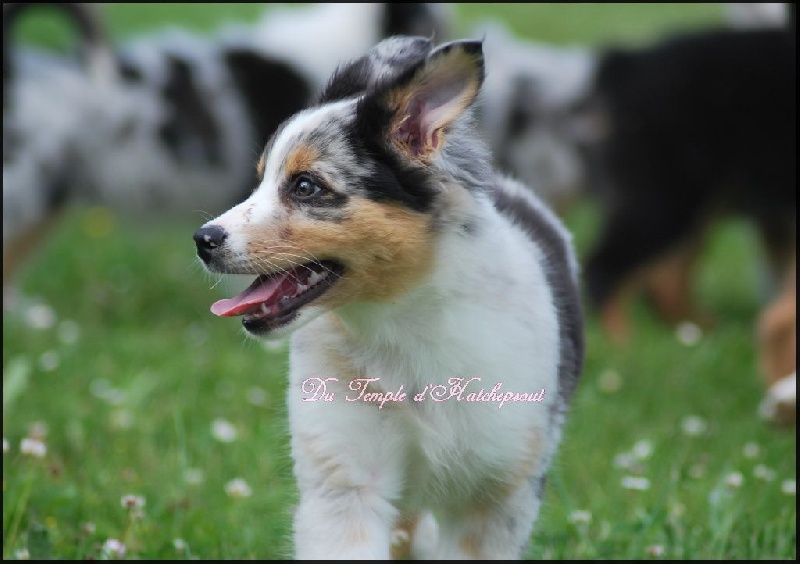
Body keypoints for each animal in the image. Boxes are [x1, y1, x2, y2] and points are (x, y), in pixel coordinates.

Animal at [192, 36, 580, 560]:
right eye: (261, 180)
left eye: (306, 186)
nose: (203, 240)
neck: (402, 318)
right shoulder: (346, 481)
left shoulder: (498, 494)